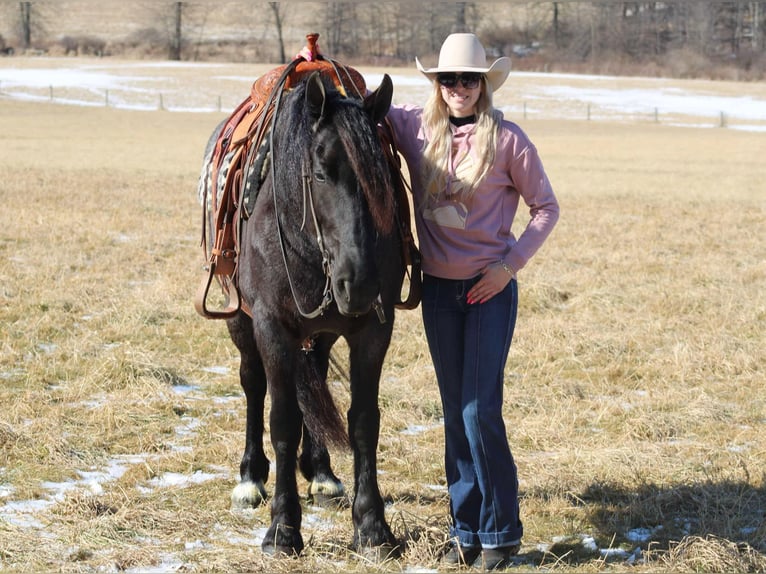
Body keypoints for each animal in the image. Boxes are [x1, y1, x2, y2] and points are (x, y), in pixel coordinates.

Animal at [206, 70, 402, 560]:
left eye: (383, 177)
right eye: (319, 172)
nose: (359, 281)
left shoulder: (374, 330)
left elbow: (363, 421)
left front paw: (373, 527)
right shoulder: (272, 327)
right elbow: (282, 420)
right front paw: (282, 529)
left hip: (322, 333)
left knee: (314, 373)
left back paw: (321, 472)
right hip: (241, 321)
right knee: (253, 384)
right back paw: (251, 478)